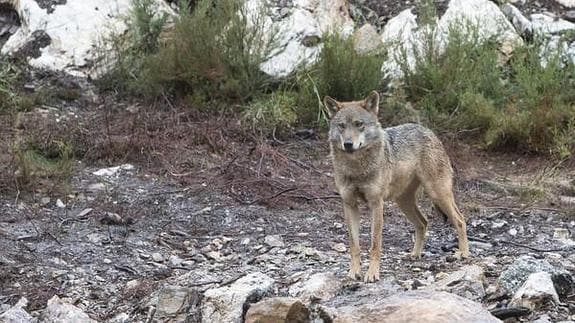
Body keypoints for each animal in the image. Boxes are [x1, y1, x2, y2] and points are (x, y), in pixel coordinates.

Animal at [324, 91, 472, 284]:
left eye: (359, 124)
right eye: (341, 126)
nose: (348, 144)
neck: (356, 168)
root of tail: (428, 131)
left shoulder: (376, 204)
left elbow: (375, 244)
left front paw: (372, 274)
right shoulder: (349, 204)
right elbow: (354, 245)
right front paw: (354, 272)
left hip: (437, 194)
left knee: (460, 220)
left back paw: (463, 253)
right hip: (403, 202)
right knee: (424, 222)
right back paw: (415, 254)